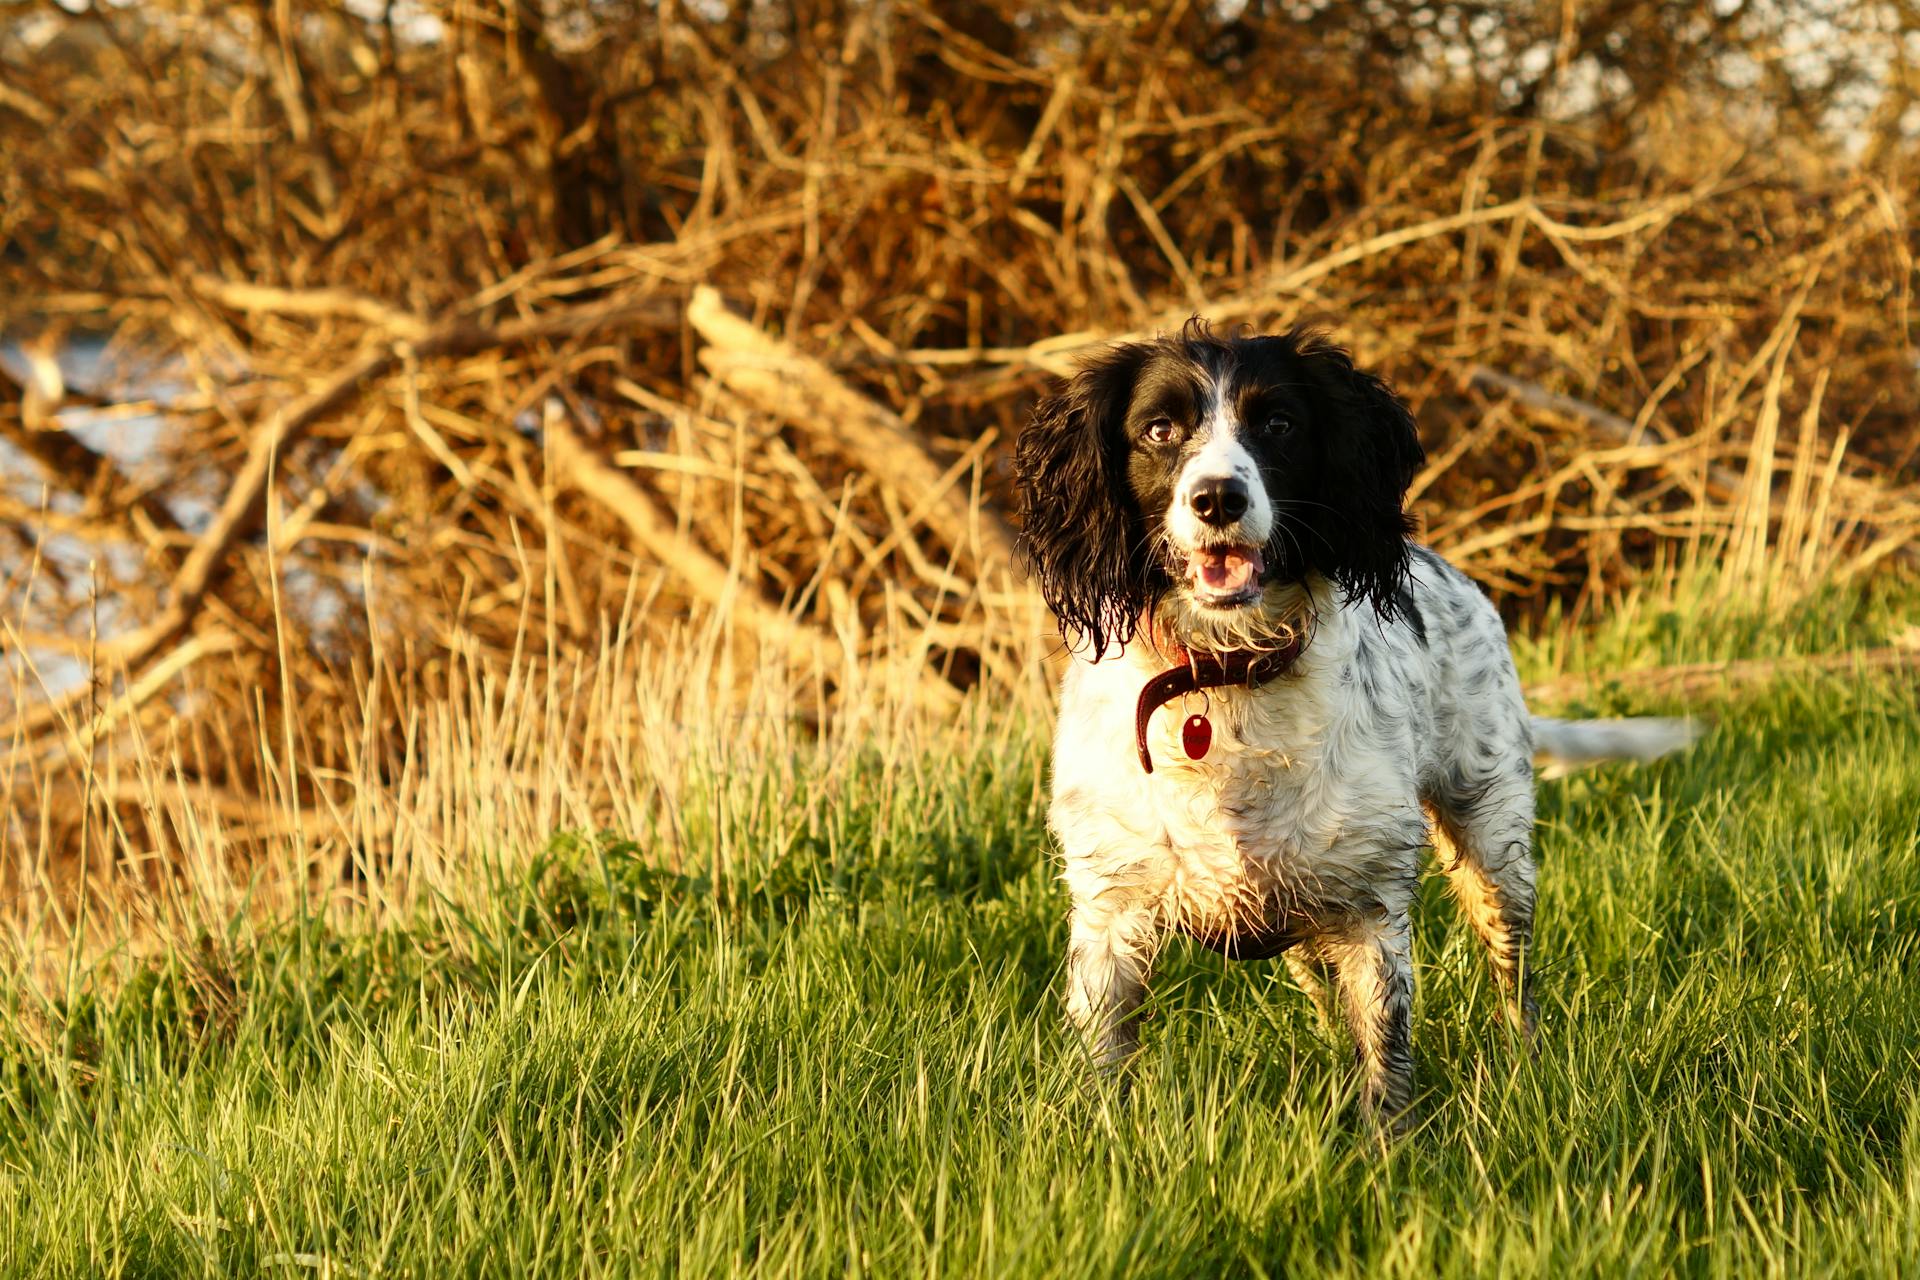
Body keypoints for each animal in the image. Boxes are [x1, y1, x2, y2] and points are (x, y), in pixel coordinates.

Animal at [1013, 320, 1689, 1120]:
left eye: (1277, 424)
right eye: (1159, 428)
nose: (1218, 498)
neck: (1225, 674)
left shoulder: (1370, 904)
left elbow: (1385, 1064)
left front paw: (1389, 1140)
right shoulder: (1111, 910)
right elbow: (1104, 1064)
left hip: (1492, 838)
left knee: (1513, 974)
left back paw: (1526, 1064)